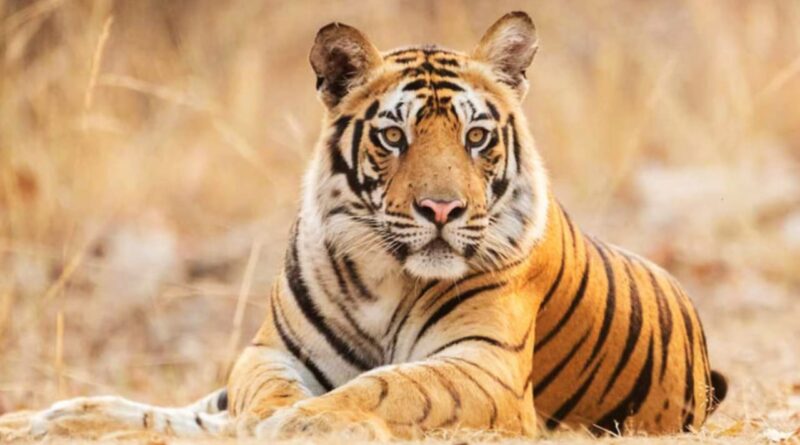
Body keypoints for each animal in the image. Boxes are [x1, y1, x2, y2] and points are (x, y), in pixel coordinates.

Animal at [2, 11, 727, 441]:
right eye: (393, 136)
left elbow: (395, 385)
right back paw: (47, 417)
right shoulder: (270, 350)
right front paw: (270, 418)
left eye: (476, 136)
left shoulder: (483, 366)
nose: (442, 211)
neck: (387, 277)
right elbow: (259, 391)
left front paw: (299, 424)